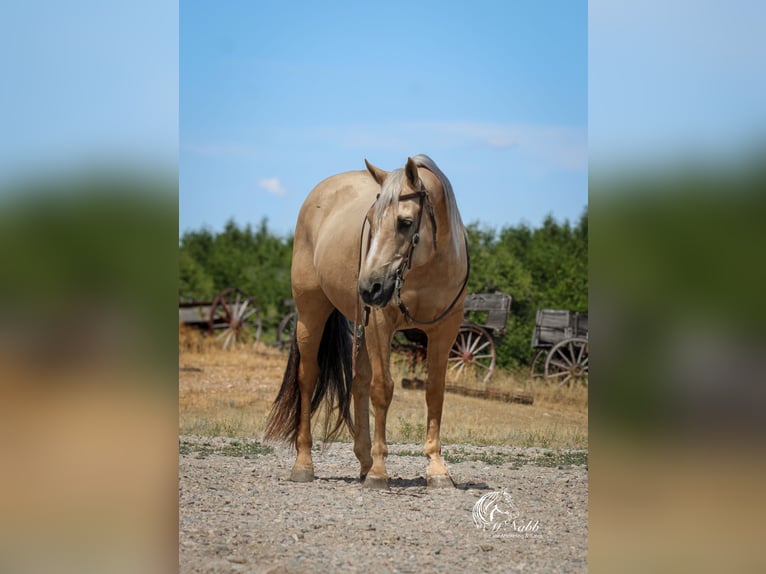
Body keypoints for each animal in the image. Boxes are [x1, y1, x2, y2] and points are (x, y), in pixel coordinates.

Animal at [264, 154, 469, 489]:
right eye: (371, 221)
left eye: (405, 222)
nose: (368, 287)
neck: (426, 269)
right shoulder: (381, 325)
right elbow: (382, 389)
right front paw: (379, 472)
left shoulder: (444, 331)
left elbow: (434, 393)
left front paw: (437, 470)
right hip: (312, 313)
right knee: (308, 377)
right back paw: (304, 464)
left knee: (359, 381)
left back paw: (363, 460)